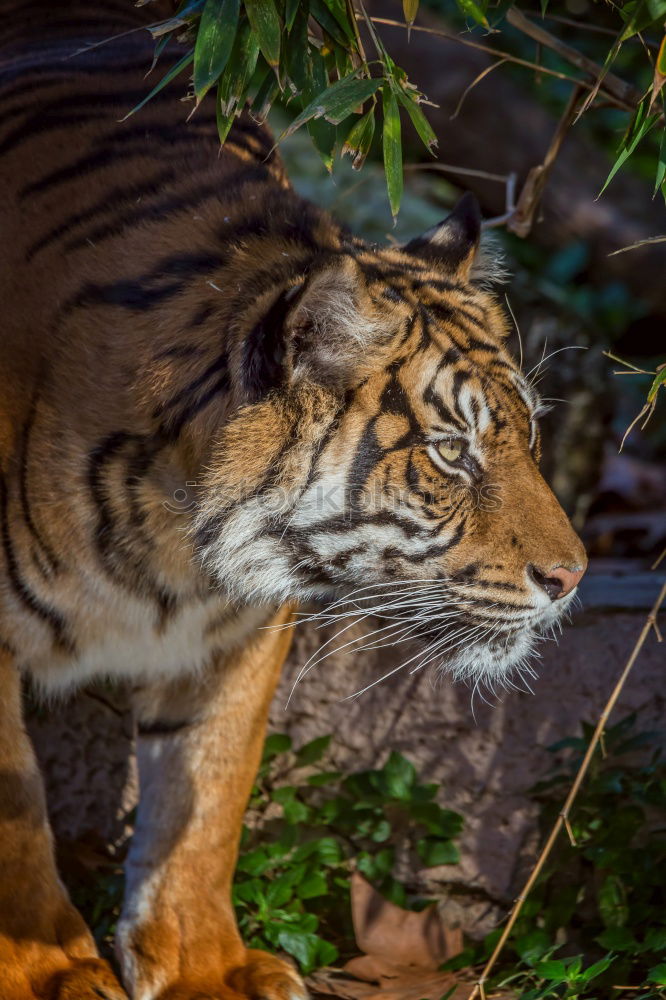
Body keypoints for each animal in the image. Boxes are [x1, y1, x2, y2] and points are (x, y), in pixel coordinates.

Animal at [0, 1, 580, 1000]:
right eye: (452, 452)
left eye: (526, 433)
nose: (574, 577)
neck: (174, 543)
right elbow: (18, 813)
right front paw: (46, 970)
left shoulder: (239, 627)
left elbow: (208, 786)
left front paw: (201, 967)